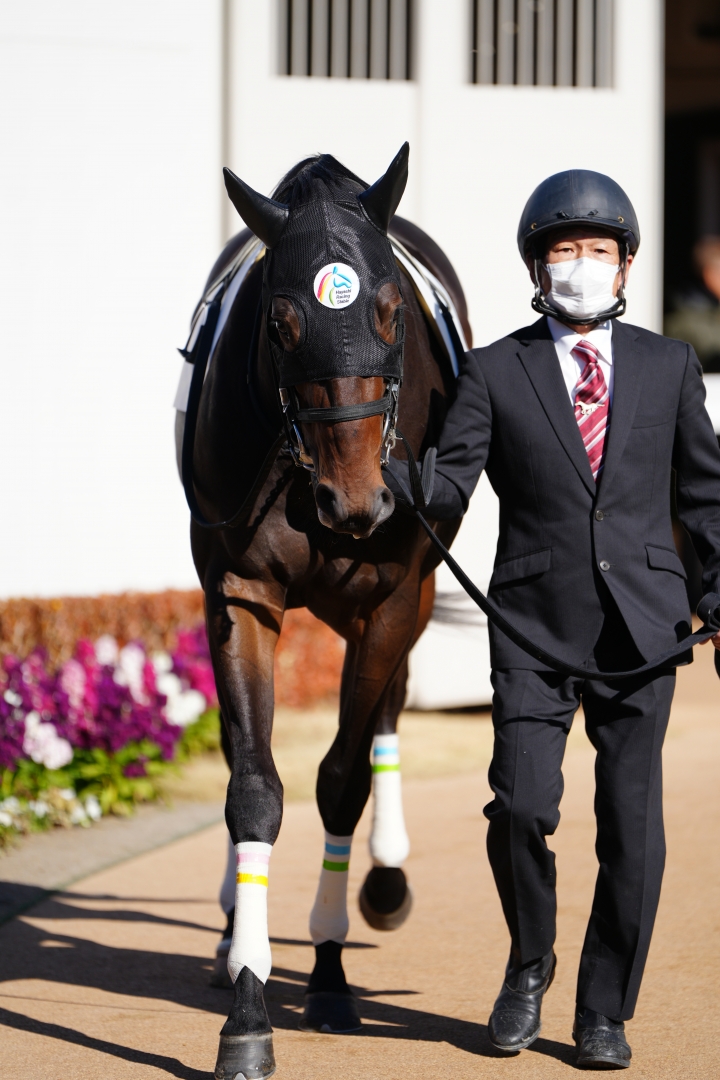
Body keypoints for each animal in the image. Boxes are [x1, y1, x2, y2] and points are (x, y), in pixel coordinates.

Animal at [179, 145, 472, 1080]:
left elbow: (342, 779)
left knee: (384, 713)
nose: (357, 501)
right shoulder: (240, 594)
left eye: (390, 311)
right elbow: (254, 788)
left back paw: (384, 879)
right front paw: (247, 1005)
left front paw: (332, 971)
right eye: (280, 324)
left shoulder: (394, 596)